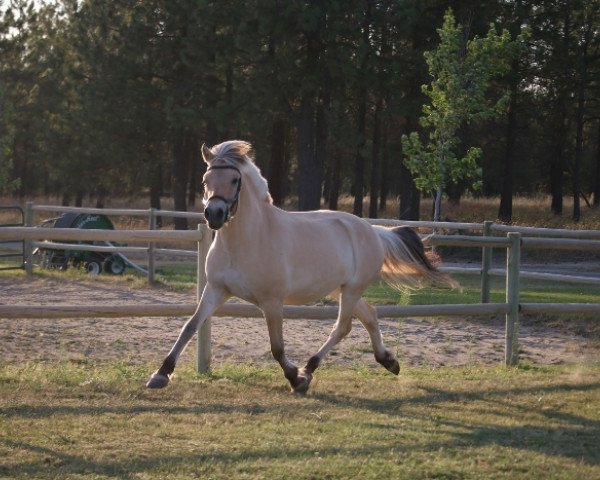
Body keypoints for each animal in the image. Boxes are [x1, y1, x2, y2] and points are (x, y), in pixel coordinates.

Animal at [148, 140, 452, 394]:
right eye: (205, 180)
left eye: (234, 180)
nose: (214, 214)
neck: (247, 240)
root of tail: (373, 230)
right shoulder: (216, 290)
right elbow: (190, 326)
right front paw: (160, 374)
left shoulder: (271, 301)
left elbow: (277, 347)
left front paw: (296, 379)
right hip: (341, 289)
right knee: (370, 316)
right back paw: (389, 361)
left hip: (351, 290)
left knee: (342, 327)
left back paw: (310, 367)